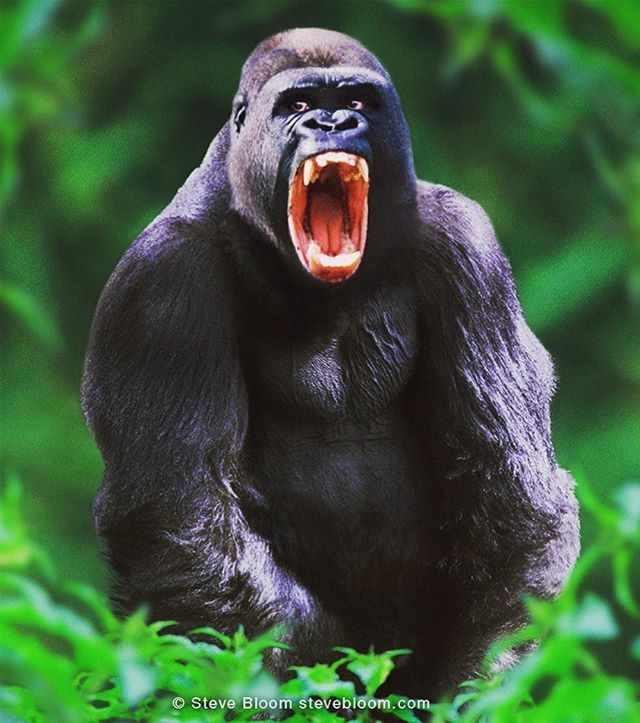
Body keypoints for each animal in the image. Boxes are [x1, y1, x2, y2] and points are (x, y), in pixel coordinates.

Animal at [81, 29, 580, 700]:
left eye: (357, 101)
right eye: (297, 105)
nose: (333, 122)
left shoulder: (466, 243)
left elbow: (512, 498)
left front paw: (473, 690)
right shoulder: (161, 283)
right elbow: (179, 521)